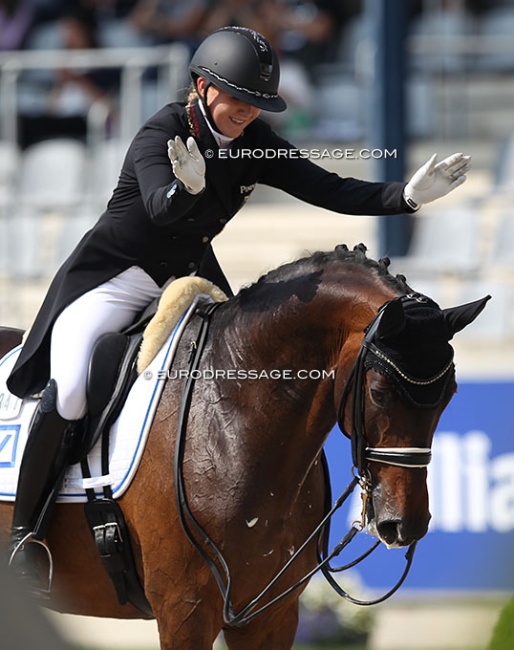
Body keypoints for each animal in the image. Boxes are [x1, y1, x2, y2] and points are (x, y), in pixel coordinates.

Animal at [0, 243, 486, 648]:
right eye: (380, 393)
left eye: (451, 394)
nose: (406, 525)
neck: (231, 419)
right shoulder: (185, 611)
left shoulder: (270, 615)